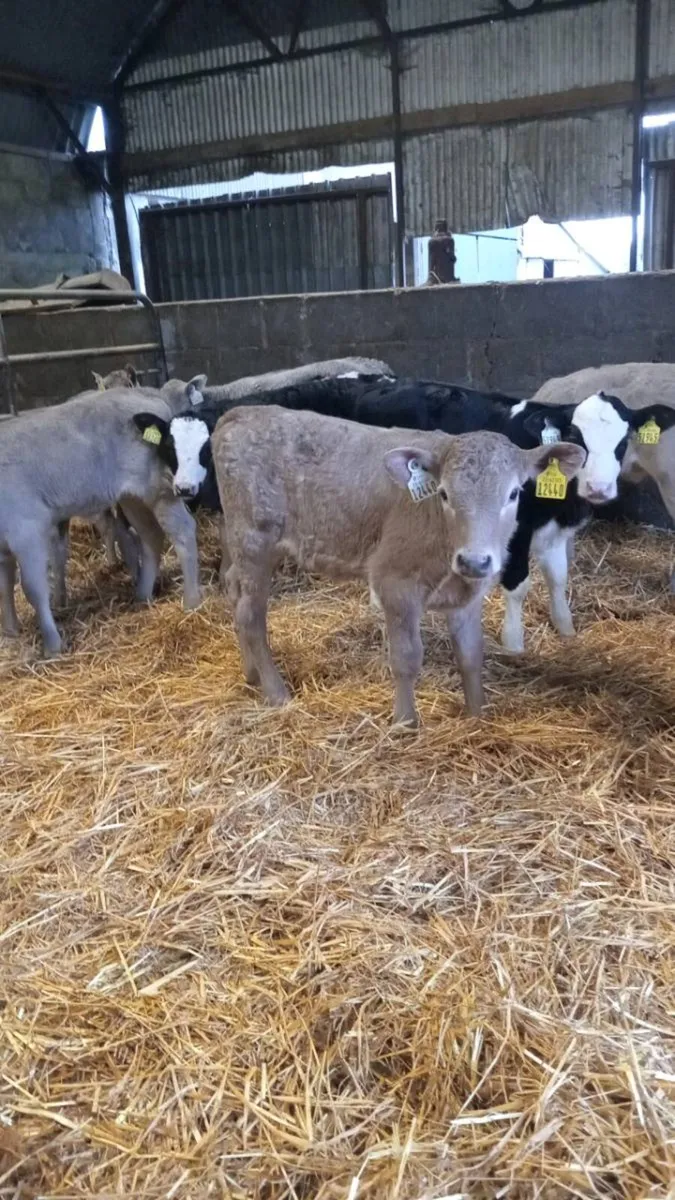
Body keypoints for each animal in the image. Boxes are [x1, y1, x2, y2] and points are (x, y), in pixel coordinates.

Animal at [0, 388, 201, 655]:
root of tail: (147, 393)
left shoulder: (26, 529)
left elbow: (32, 588)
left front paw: (52, 645)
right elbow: (5, 586)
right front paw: (10, 631)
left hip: (160, 489)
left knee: (183, 531)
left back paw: (191, 601)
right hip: (131, 496)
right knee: (150, 535)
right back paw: (142, 594)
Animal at [210, 406, 585, 724]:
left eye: (513, 494)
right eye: (444, 494)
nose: (474, 560)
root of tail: (240, 413)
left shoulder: (467, 595)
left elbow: (470, 655)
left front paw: (477, 716)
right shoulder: (395, 583)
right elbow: (406, 658)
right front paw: (405, 723)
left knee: (234, 592)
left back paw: (251, 674)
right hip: (254, 541)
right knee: (251, 616)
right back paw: (276, 692)